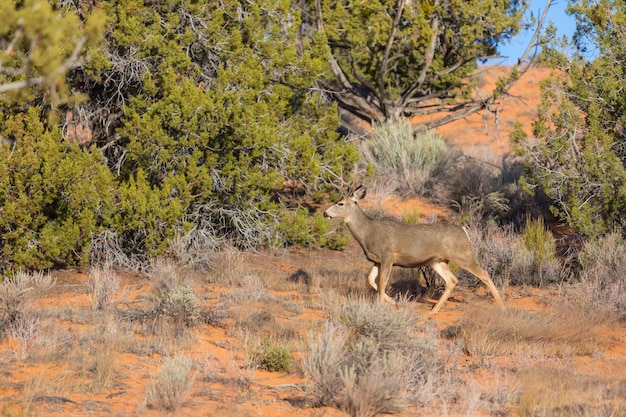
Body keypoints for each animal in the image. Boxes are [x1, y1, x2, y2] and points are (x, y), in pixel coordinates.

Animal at [324, 185, 504, 316]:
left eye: (340, 203)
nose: (325, 213)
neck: (368, 233)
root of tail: (463, 230)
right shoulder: (377, 260)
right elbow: (370, 280)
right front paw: (394, 302)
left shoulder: (388, 255)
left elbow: (382, 282)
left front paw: (380, 306)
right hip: (437, 261)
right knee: (452, 280)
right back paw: (433, 311)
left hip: (463, 256)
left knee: (484, 274)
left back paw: (501, 305)